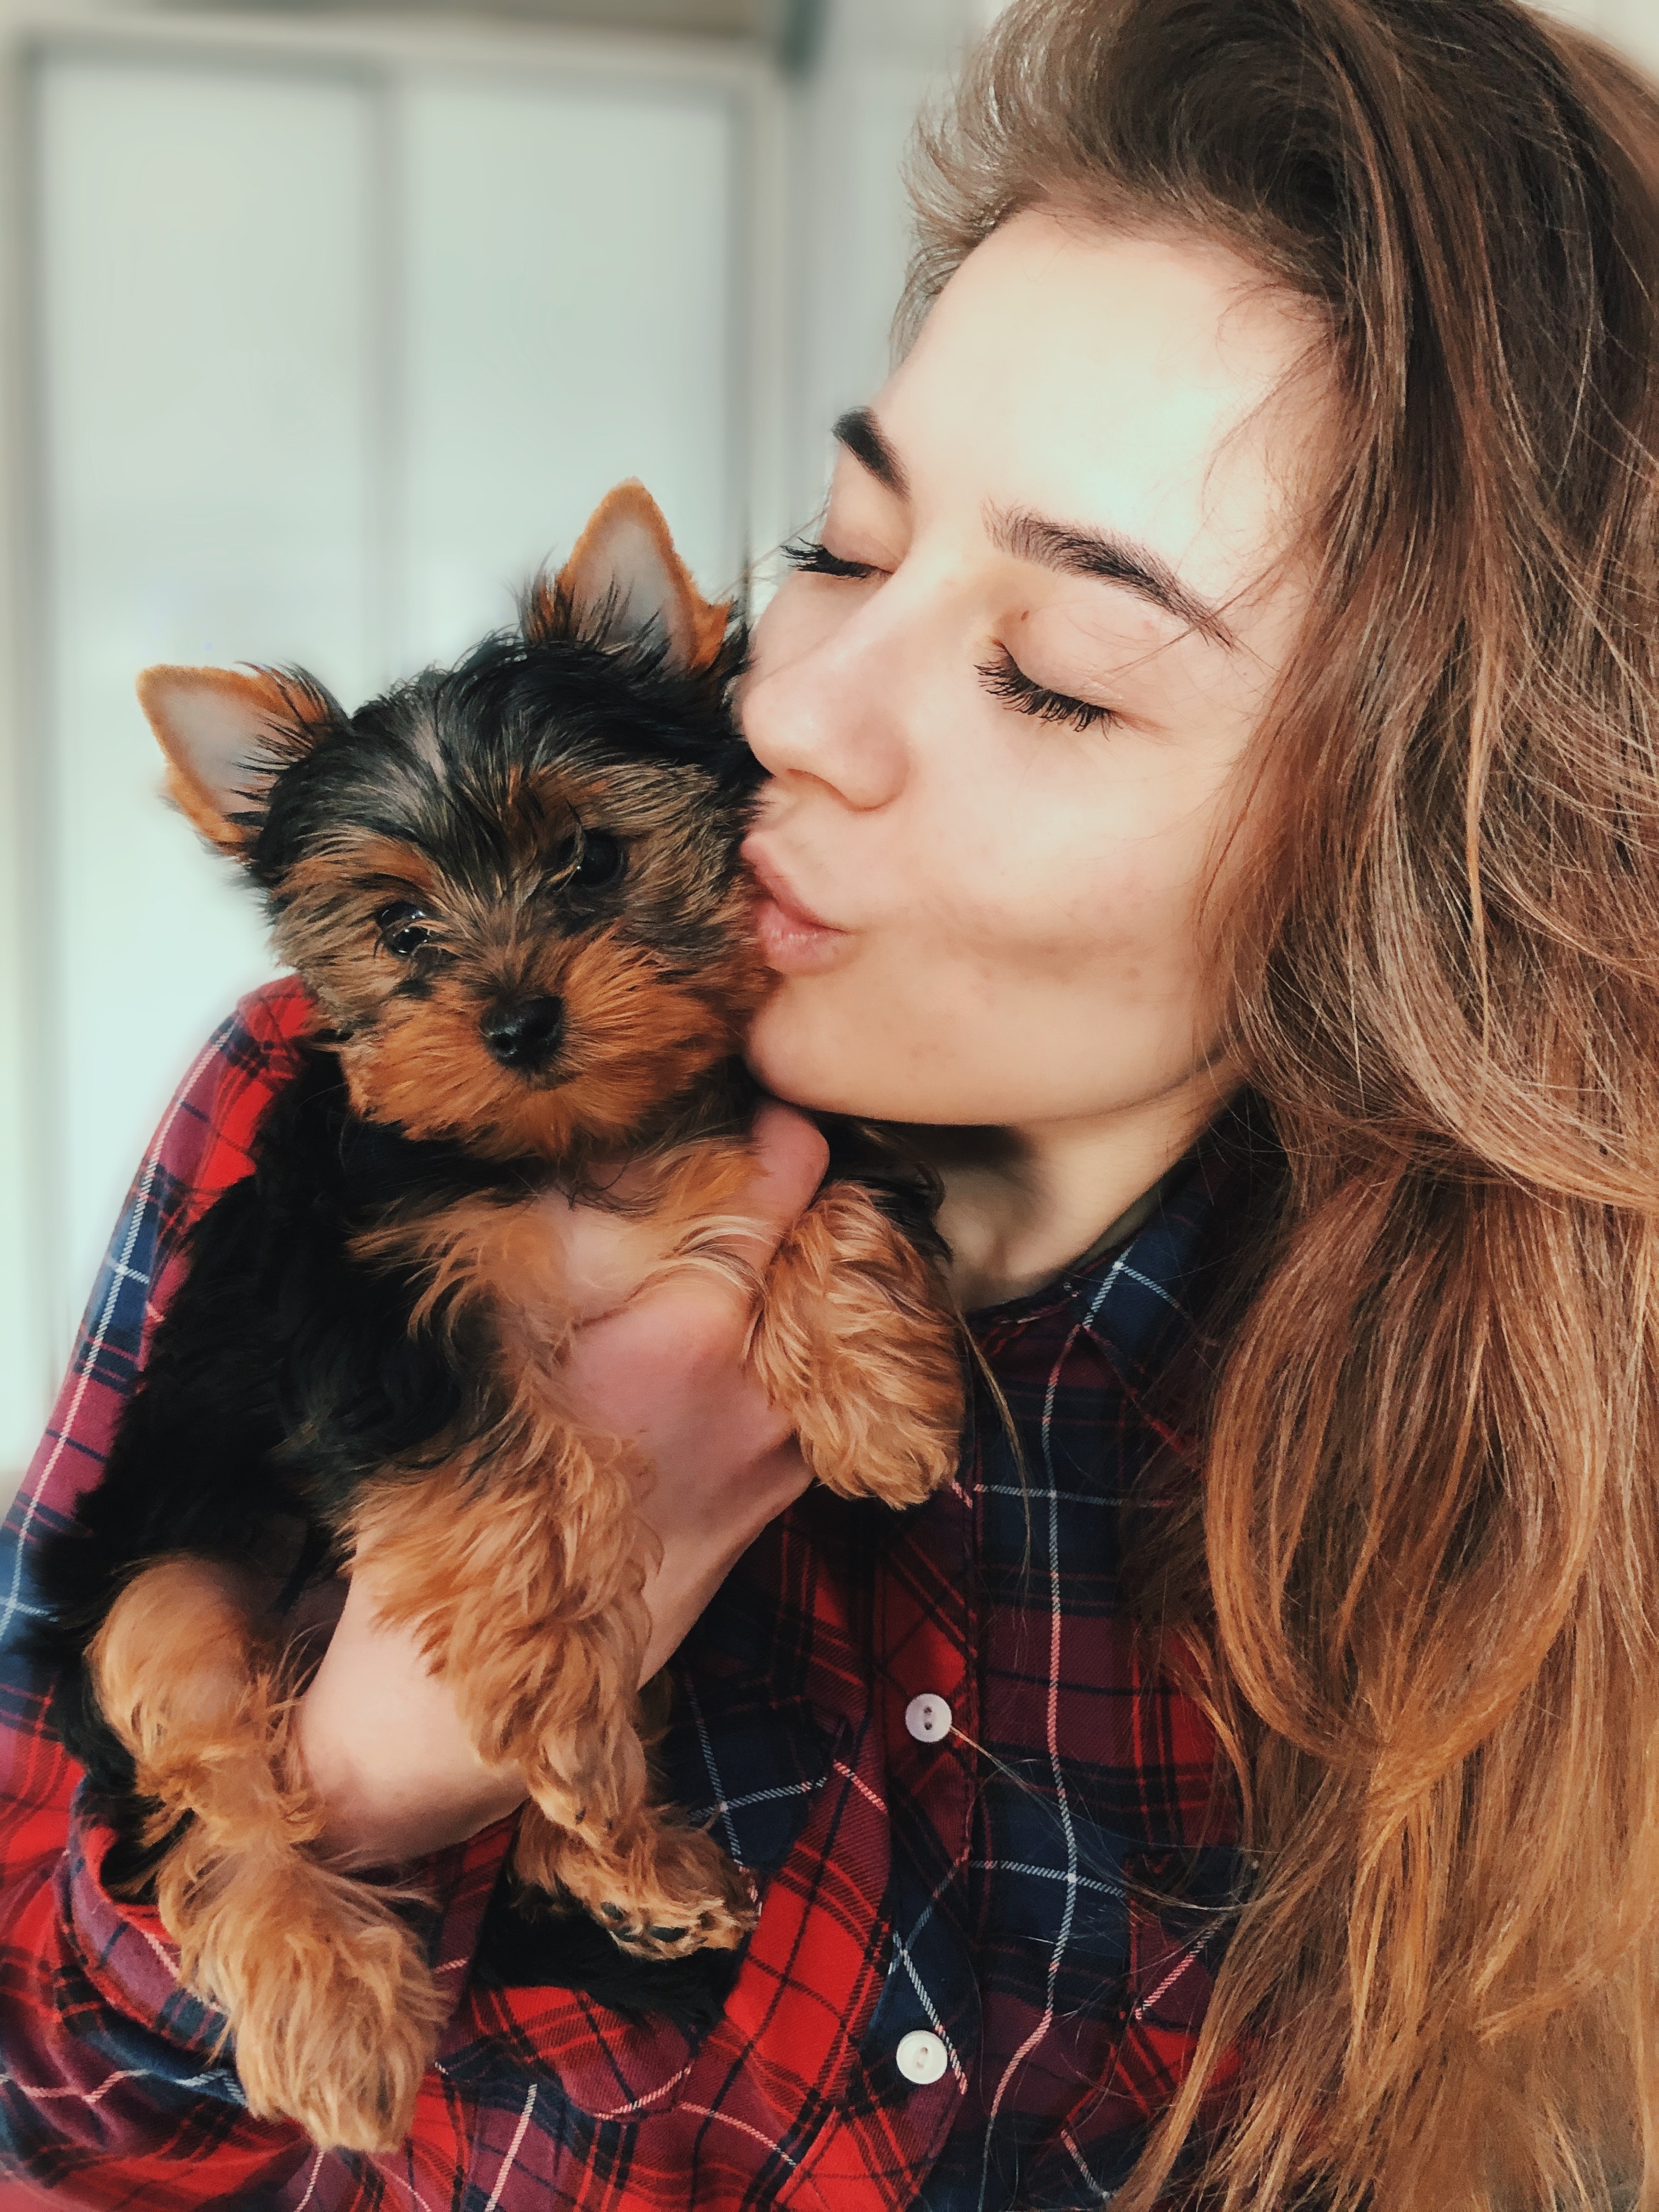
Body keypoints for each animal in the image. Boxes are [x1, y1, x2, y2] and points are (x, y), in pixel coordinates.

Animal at [32, 489, 969, 2159]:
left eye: (592, 859)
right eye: (404, 927)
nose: (520, 1021)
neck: (575, 1148)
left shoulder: (776, 1133)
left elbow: (829, 1199)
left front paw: (878, 1402)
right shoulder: (375, 1303)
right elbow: (514, 1492)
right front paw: (560, 1707)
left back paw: (629, 1867)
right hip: (160, 1576)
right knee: (210, 1787)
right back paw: (341, 1990)